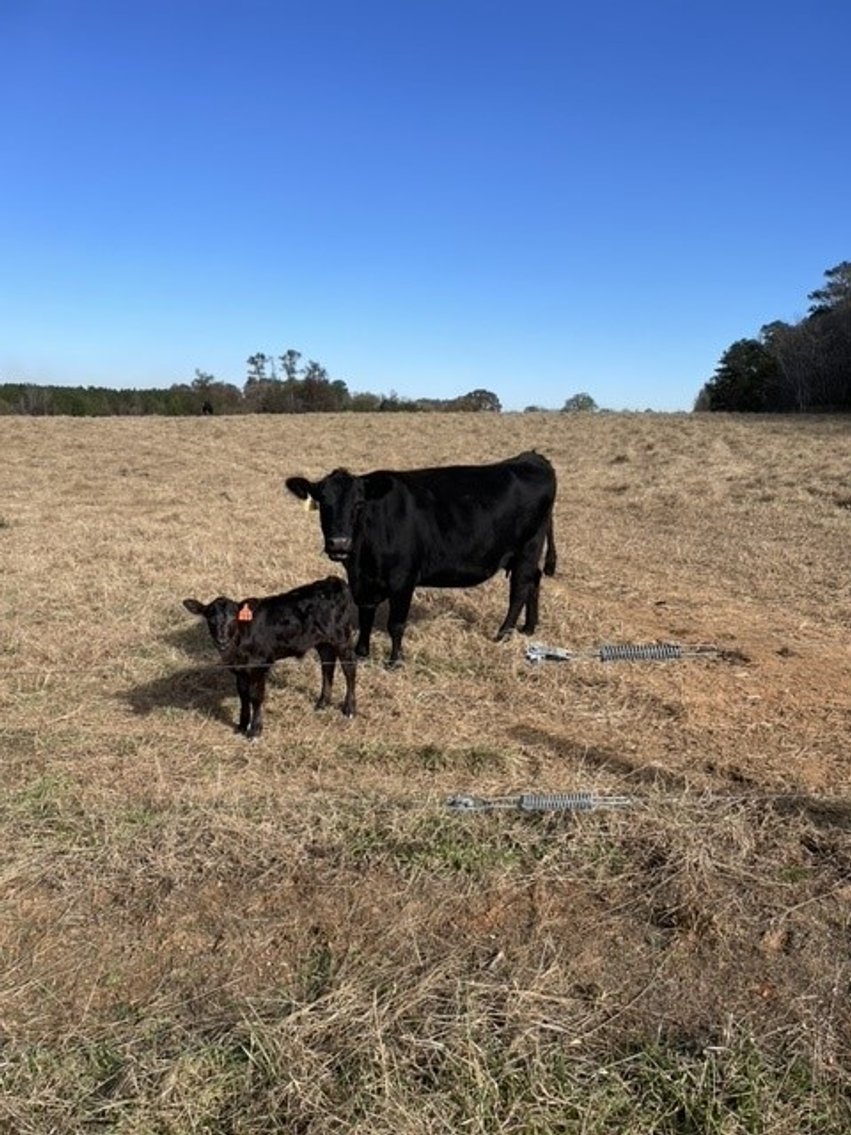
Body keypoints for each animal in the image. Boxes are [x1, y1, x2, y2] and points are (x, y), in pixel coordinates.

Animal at [182, 576, 356, 737]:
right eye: (211, 619)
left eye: (233, 618)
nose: (222, 640)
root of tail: (333, 580)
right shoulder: (240, 670)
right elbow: (243, 696)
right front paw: (241, 726)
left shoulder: (259, 665)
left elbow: (256, 696)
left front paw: (255, 730)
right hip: (323, 641)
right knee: (327, 666)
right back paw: (322, 703)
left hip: (342, 637)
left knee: (349, 669)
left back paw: (349, 709)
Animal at [285, 451, 557, 665]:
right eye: (323, 503)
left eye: (359, 504)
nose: (339, 543)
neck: (361, 559)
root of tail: (531, 457)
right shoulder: (363, 581)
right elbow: (365, 616)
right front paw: (362, 653)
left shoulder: (403, 579)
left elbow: (396, 623)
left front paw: (395, 661)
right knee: (534, 581)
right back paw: (529, 628)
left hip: (527, 549)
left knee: (519, 590)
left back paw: (503, 634)